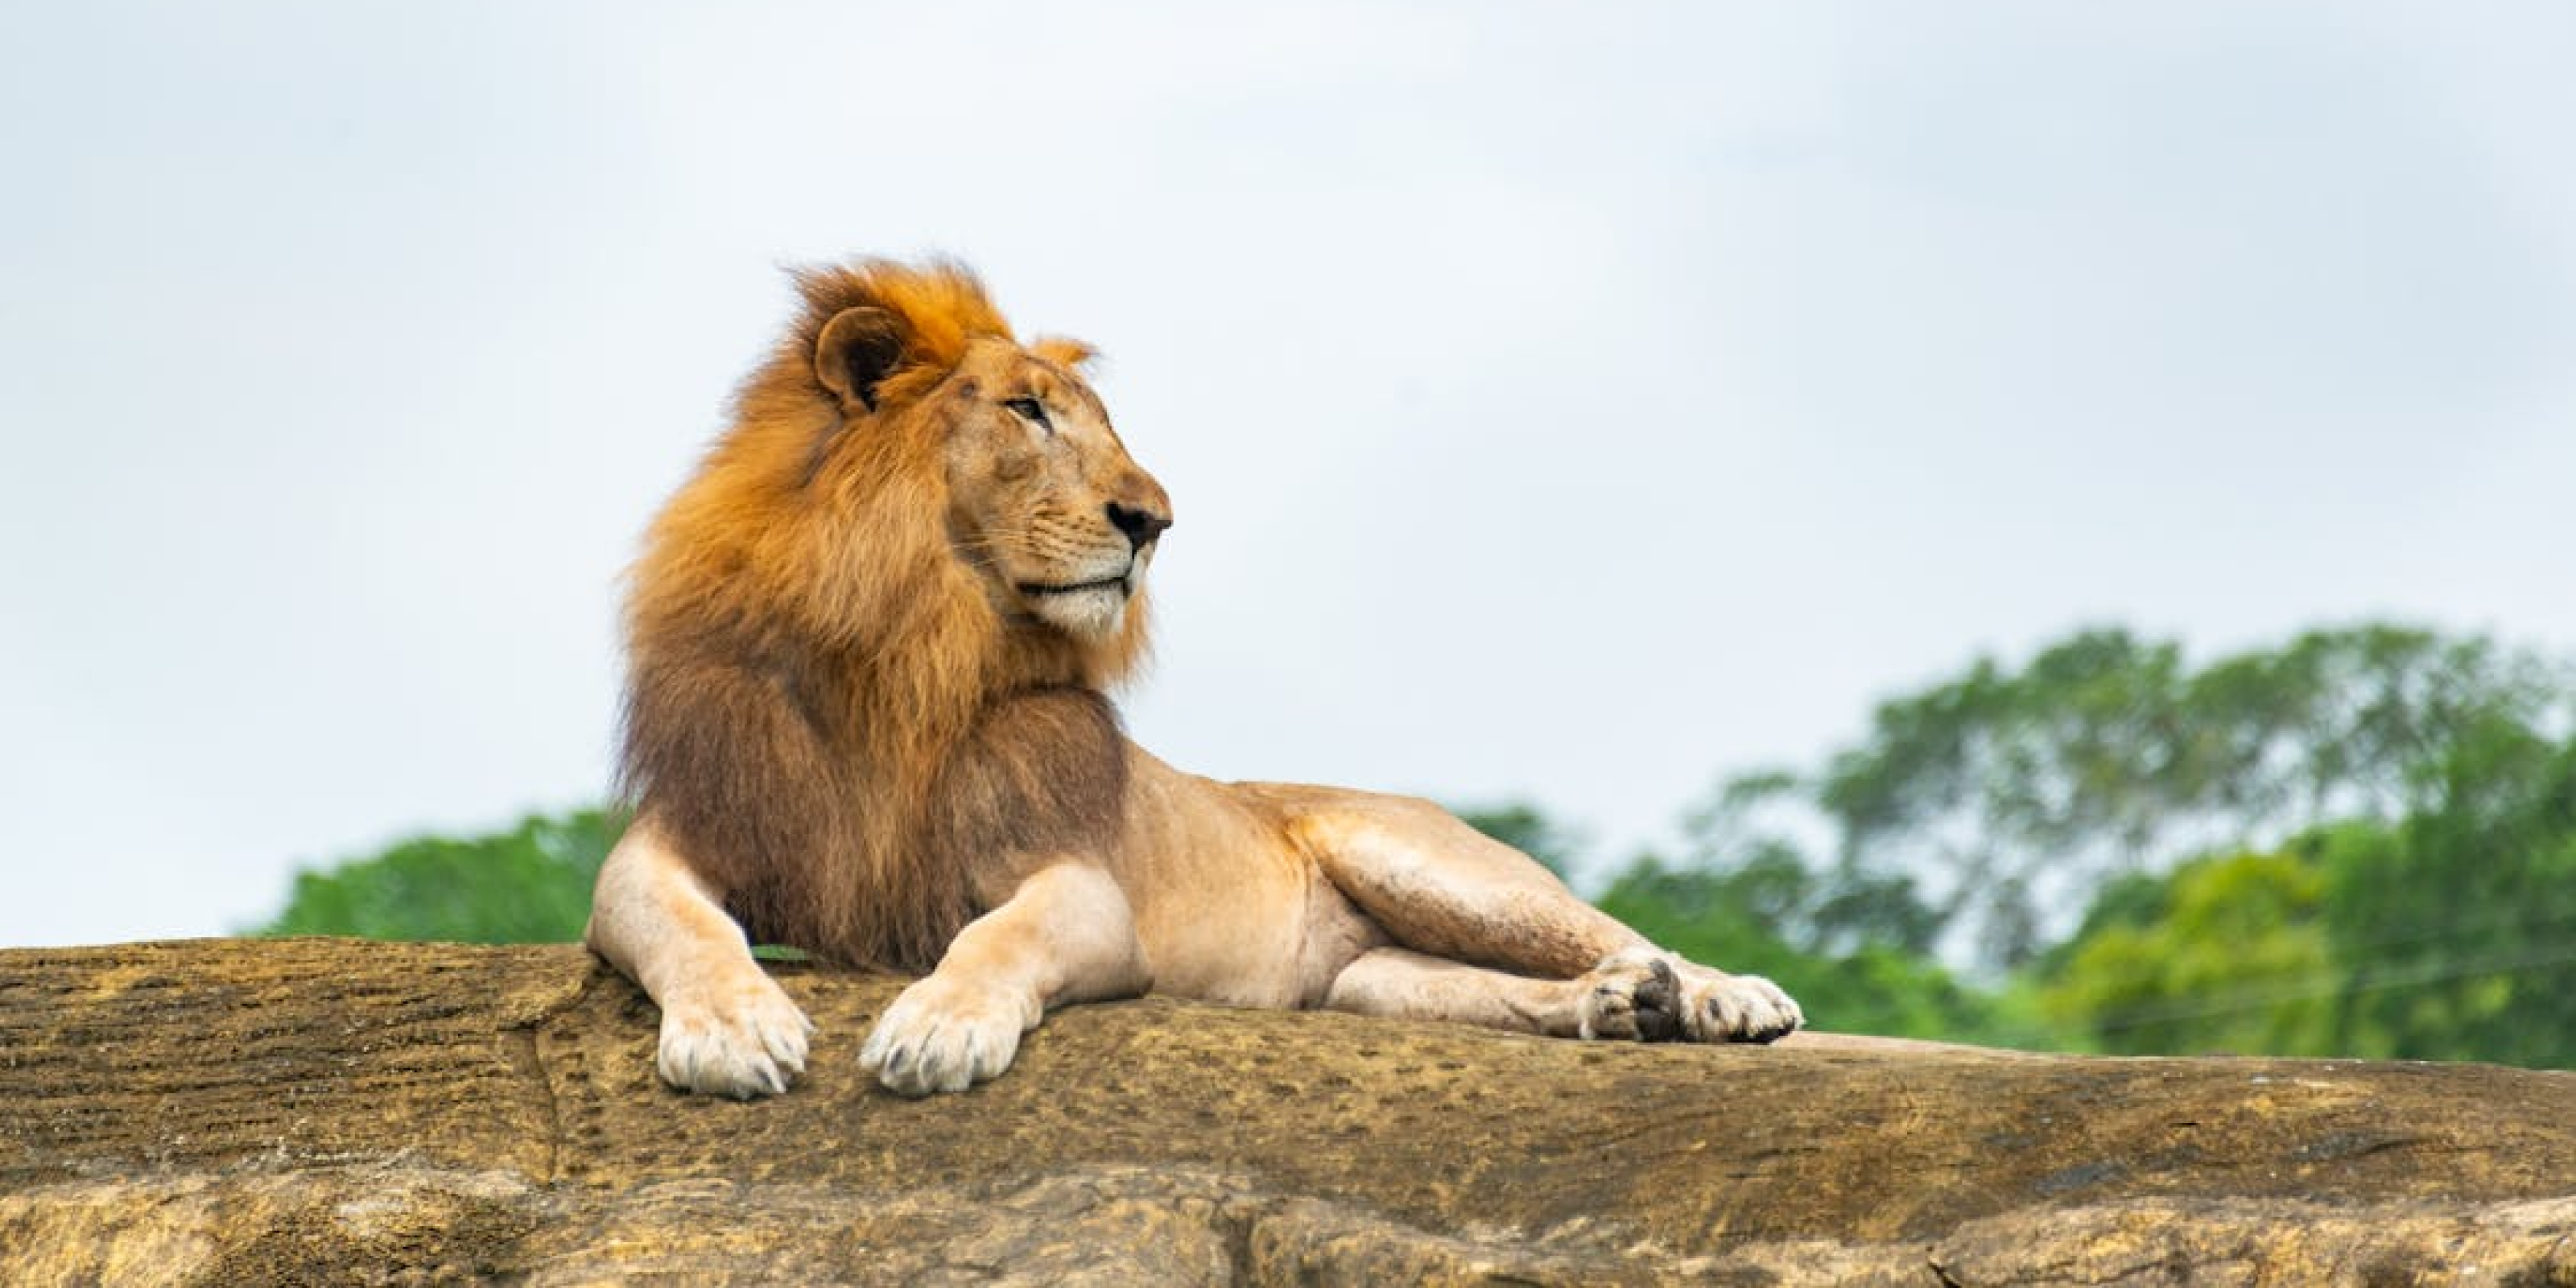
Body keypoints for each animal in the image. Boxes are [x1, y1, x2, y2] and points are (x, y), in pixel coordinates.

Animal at [586, 258, 1802, 1098]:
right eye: (1025, 410)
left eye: (1096, 422)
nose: (1153, 521)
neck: (908, 648)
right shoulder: (670, 843)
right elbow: (688, 927)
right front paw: (734, 1029)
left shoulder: (1084, 889)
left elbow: (996, 937)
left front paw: (937, 1027)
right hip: (1372, 982)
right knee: (1486, 990)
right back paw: (1622, 1009)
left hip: (1431, 864)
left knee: (1610, 928)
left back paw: (1717, 997)